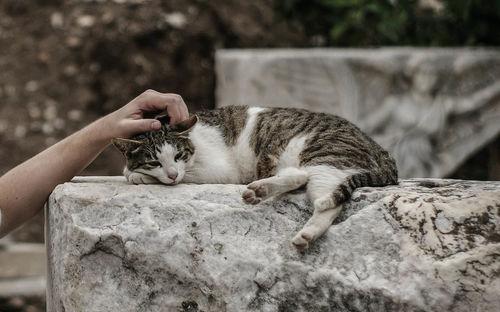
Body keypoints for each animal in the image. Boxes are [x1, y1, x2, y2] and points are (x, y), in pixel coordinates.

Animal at [113, 106, 398, 250]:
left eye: (179, 155)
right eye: (154, 161)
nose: (171, 174)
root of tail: (378, 147)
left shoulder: (220, 169)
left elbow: (184, 175)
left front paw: (137, 175)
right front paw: (136, 171)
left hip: (325, 158)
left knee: (325, 198)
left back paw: (303, 228)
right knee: (301, 179)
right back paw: (263, 193)